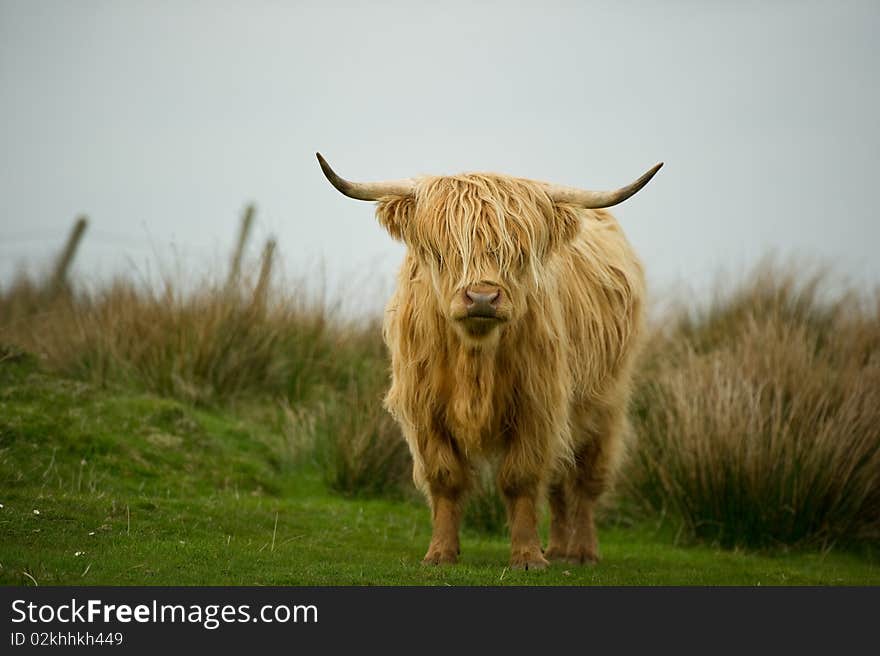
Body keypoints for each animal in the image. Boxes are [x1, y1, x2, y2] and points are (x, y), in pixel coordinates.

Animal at [316, 154, 660, 568]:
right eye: (442, 252)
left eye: (519, 254)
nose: (482, 297)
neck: (475, 358)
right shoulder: (424, 410)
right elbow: (445, 478)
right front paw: (440, 553)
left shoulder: (537, 406)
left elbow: (520, 479)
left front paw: (527, 557)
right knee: (559, 479)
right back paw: (559, 549)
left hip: (604, 406)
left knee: (584, 480)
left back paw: (582, 552)